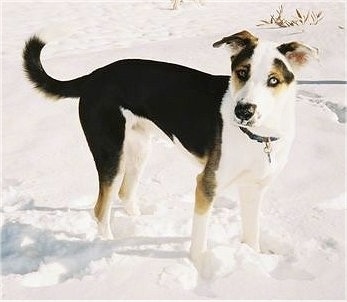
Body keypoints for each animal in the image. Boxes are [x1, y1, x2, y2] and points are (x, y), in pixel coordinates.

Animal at [22, 30, 318, 266]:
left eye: (273, 80)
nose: (243, 111)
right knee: (101, 208)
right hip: (111, 153)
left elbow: (252, 233)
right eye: (241, 73)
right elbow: (199, 239)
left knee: (125, 193)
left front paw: (254, 258)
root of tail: (93, 76)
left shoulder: (254, 188)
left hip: (140, 149)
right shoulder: (206, 185)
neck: (258, 136)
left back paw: (140, 223)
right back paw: (107, 245)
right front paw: (199, 267)